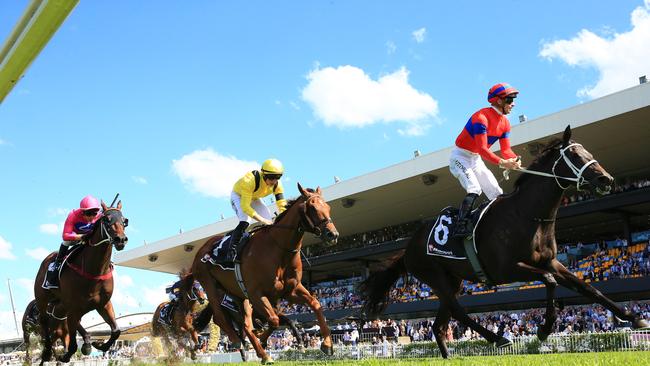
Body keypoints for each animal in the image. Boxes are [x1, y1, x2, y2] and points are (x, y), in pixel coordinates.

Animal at [32, 202, 128, 364]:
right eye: (107, 220)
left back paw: (88, 342)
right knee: (44, 320)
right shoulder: (74, 307)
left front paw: (100, 345)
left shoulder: (103, 304)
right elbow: (71, 346)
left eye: (124, 221)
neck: (95, 271)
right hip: (43, 299)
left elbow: (116, 331)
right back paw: (47, 352)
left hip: (63, 304)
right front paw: (64, 355)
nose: (121, 239)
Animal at [191, 183, 340, 364]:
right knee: (221, 318)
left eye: (328, 207)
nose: (332, 234)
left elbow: (315, 304)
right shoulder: (257, 294)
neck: (279, 249)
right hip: (210, 285)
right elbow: (274, 320)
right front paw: (262, 338)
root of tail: (200, 250)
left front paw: (327, 344)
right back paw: (242, 343)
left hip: (237, 294)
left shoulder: (290, 290)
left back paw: (259, 351)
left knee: (245, 324)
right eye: (312, 207)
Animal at [360, 125, 648, 358]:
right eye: (576, 156)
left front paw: (634, 318)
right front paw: (544, 329)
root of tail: (408, 246)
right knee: (458, 311)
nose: (606, 179)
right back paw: (497, 338)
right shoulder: (506, 270)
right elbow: (550, 282)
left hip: (452, 280)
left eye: (587, 151)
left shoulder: (551, 262)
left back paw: (448, 355)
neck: (528, 215)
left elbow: (588, 288)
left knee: (440, 322)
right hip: (433, 275)